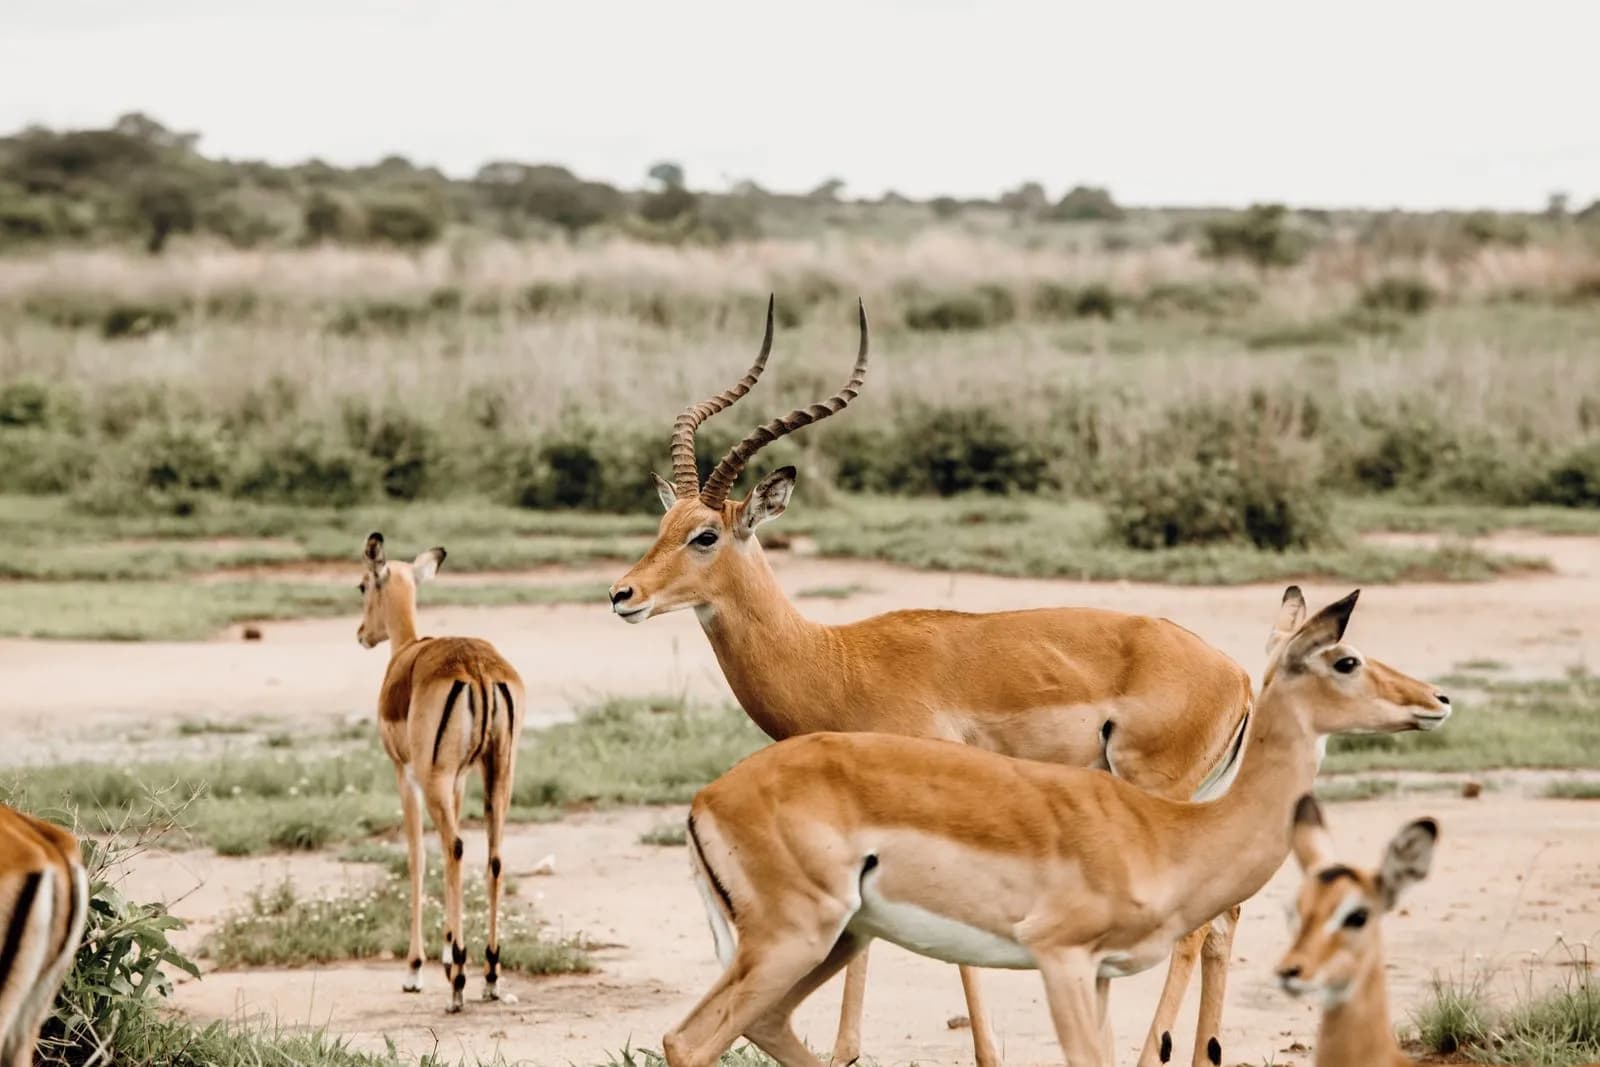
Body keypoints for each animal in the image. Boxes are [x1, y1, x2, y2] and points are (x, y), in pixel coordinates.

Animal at [358, 533, 525, 1012]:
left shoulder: (407, 775)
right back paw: (489, 974)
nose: (361, 634)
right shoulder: (460, 780)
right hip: (499, 774)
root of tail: (478, 669)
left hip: (435, 779)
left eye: (362, 585)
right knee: (494, 858)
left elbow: (416, 858)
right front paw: (449, 954)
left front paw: (417, 970)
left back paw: (458, 986)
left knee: (454, 848)